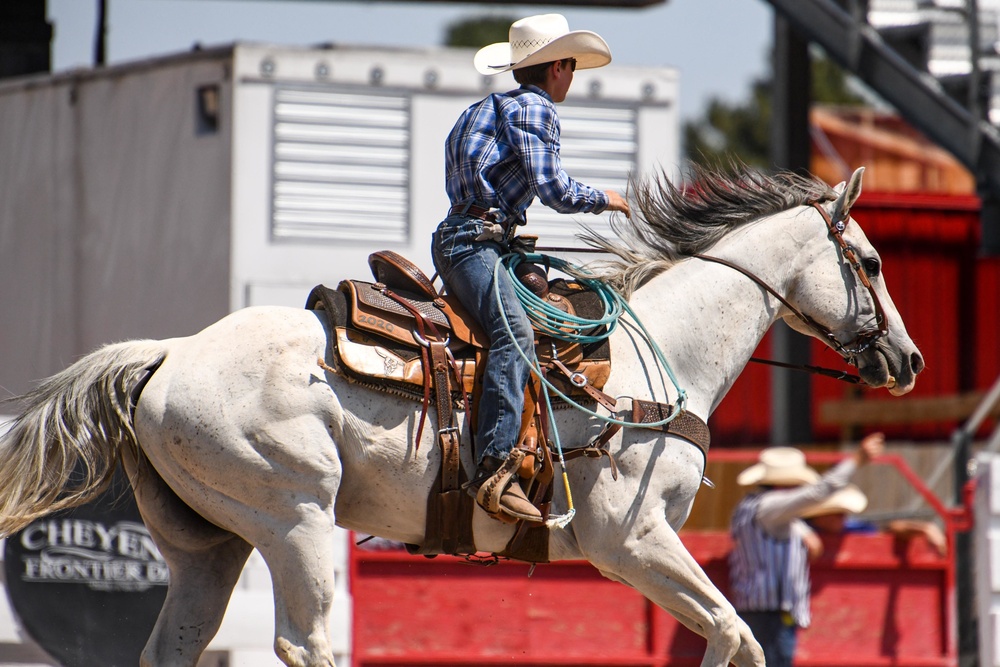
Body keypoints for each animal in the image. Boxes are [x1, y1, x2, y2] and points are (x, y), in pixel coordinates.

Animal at [0, 164, 920, 664]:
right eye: (871, 261)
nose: (908, 361)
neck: (660, 361)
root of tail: (168, 351)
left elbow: (739, 638)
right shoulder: (630, 539)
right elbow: (733, 628)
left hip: (208, 546)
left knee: (173, 645)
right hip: (295, 518)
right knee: (306, 640)